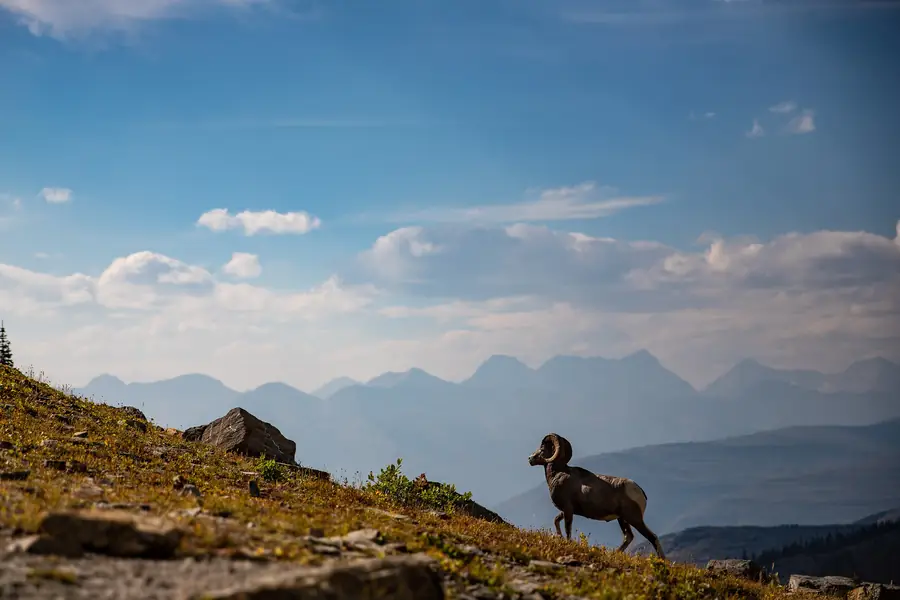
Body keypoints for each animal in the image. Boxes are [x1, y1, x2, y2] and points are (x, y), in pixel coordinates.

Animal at [527, 432, 666, 559]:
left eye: (542, 449)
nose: (530, 458)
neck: (558, 474)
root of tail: (639, 491)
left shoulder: (568, 510)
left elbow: (567, 529)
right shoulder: (566, 511)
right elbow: (556, 521)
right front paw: (559, 537)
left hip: (634, 519)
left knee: (652, 537)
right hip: (622, 519)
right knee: (628, 537)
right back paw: (613, 554)